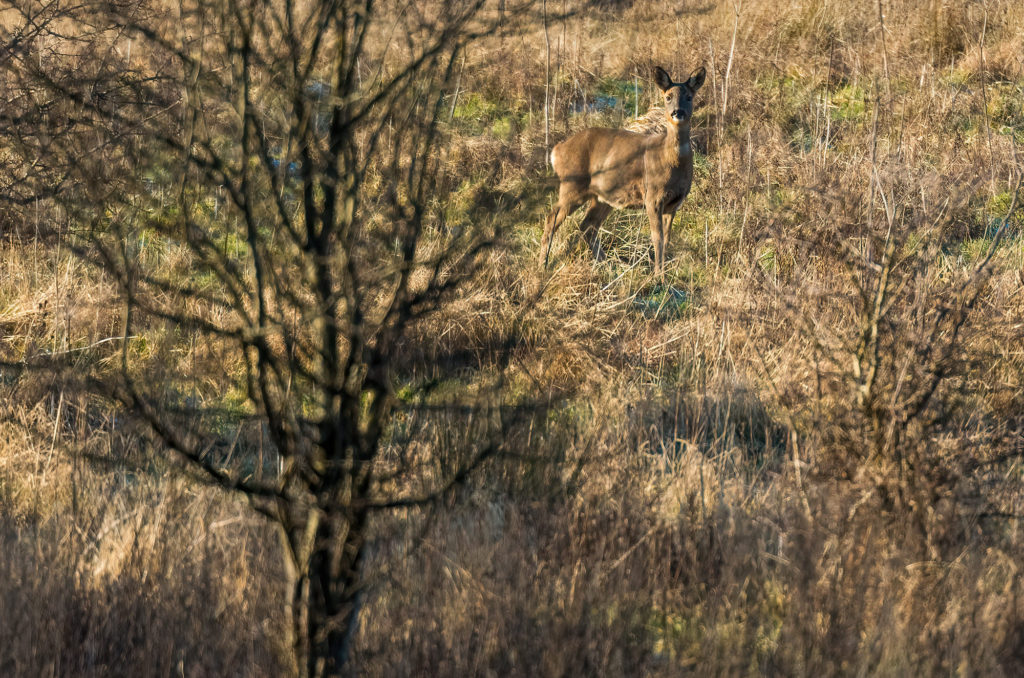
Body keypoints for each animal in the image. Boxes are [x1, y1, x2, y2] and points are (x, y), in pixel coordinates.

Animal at [544, 63, 704, 276]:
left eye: (689, 97)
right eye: (668, 97)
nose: (677, 113)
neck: (672, 162)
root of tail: (557, 150)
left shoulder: (675, 203)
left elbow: (667, 239)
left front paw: (665, 272)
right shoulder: (652, 196)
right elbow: (657, 238)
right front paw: (658, 275)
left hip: (602, 197)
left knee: (588, 226)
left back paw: (607, 265)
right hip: (572, 186)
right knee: (552, 219)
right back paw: (543, 265)